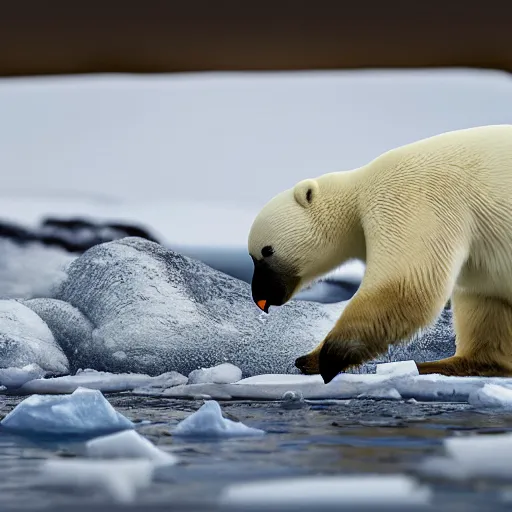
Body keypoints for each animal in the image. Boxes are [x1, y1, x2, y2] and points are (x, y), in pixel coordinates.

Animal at [248, 125, 512, 384]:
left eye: (266, 250)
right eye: (252, 256)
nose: (261, 298)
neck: (359, 189)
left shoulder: (409, 196)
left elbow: (404, 286)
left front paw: (329, 357)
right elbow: (484, 300)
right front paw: (308, 359)